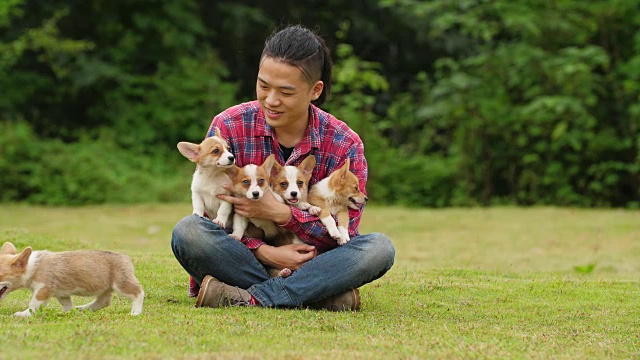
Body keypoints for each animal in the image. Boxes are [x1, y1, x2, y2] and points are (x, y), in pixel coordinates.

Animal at [0, 242, 144, 316]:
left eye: (0, 275)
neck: (32, 266)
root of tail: (124, 257)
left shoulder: (43, 289)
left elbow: (33, 305)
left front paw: (23, 314)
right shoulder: (61, 293)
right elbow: (67, 304)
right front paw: (64, 312)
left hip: (121, 283)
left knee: (138, 292)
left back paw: (136, 311)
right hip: (104, 288)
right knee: (103, 302)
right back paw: (83, 309)